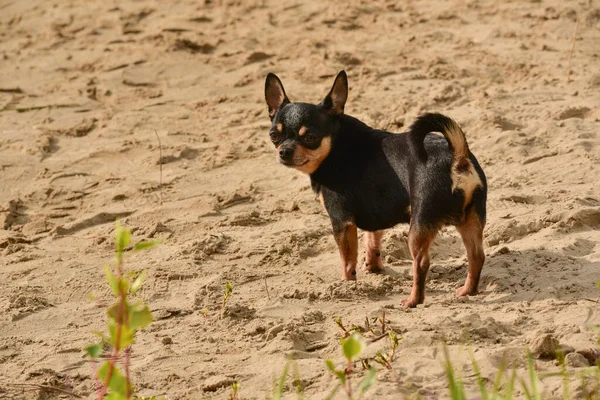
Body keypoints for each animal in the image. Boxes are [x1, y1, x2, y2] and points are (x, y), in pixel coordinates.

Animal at [266, 70, 488, 306]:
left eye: (310, 138)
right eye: (274, 136)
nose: (284, 151)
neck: (335, 145)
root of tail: (457, 158)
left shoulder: (341, 221)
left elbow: (347, 261)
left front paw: (346, 286)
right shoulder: (373, 215)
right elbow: (372, 243)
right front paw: (372, 268)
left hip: (419, 225)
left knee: (421, 263)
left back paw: (413, 300)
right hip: (471, 219)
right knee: (476, 256)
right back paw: (468, 291)